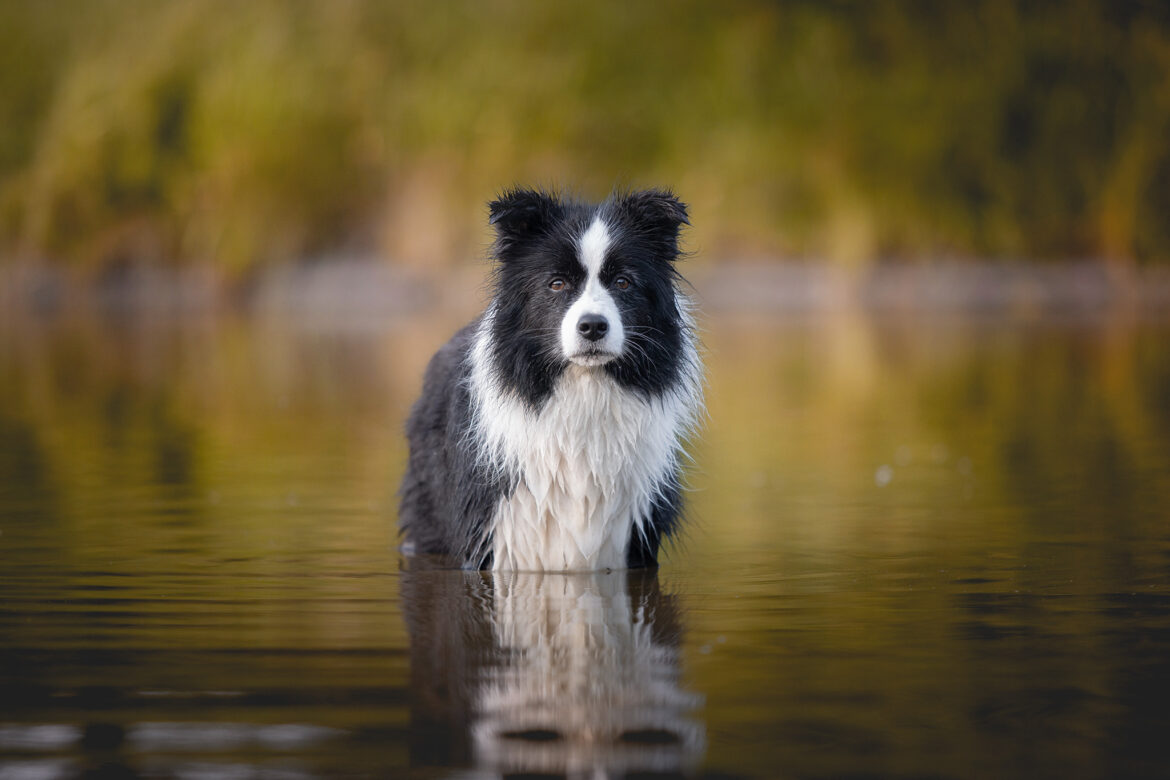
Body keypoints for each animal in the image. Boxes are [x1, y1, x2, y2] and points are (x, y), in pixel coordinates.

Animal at [397, 187, 697, 568]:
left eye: (623, 282)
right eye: (556, 283)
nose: (593, 326)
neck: (584, 388)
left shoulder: (635, 533)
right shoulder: (492, 531)